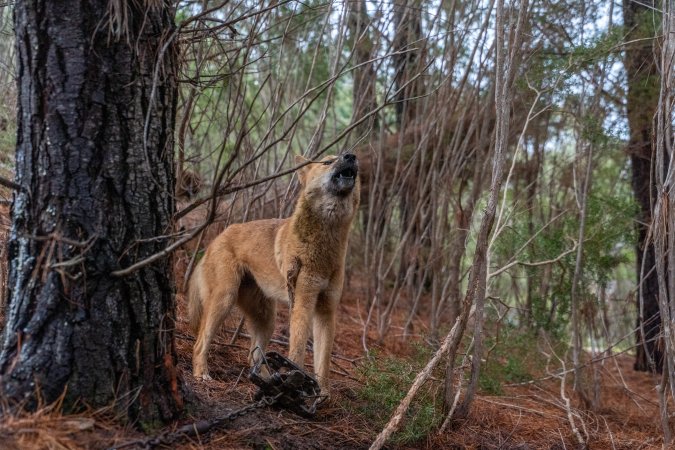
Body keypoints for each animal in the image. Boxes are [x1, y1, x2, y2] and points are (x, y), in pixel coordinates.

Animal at [189, 154, 360, 390]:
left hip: (266, 318)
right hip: (224, 300)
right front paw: (296, 382)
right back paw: (202, 374)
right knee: (199, 344)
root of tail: (216, 240)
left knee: (253, 357)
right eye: (327, 161)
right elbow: (297, 350)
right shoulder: (302, 304)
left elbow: (323, 362)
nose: (351, 156)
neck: (325, 243)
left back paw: (266, 380)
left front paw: (322, 393)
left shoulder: (326, 311)